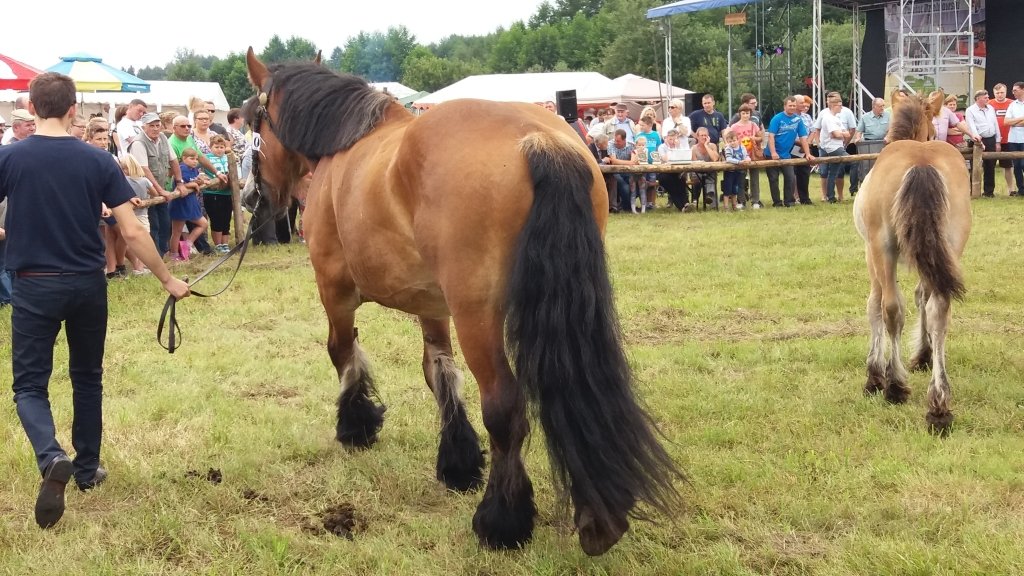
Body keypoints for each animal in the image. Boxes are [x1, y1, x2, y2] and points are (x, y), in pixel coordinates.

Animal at [242, 49, 682, 555]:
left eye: (251, 120)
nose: (252, 198)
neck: (346, 142)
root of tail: (536, 140)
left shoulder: (334, 290)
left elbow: (342, 352)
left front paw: (356, 425)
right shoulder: (432, 306)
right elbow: (439, 371)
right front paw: (458, 461)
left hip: (478, 318)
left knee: (505, 408)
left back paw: (501, 520)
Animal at [853, 91, 971, 435]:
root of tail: (921, 163)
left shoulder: (871, 253)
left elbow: (874, 306)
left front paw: (875, 375)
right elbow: (923, 299)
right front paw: (923, 355)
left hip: (883, 249)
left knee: (892, 308)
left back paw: (894, 386)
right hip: (950, 247)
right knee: (939, 310)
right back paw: (939, 407)